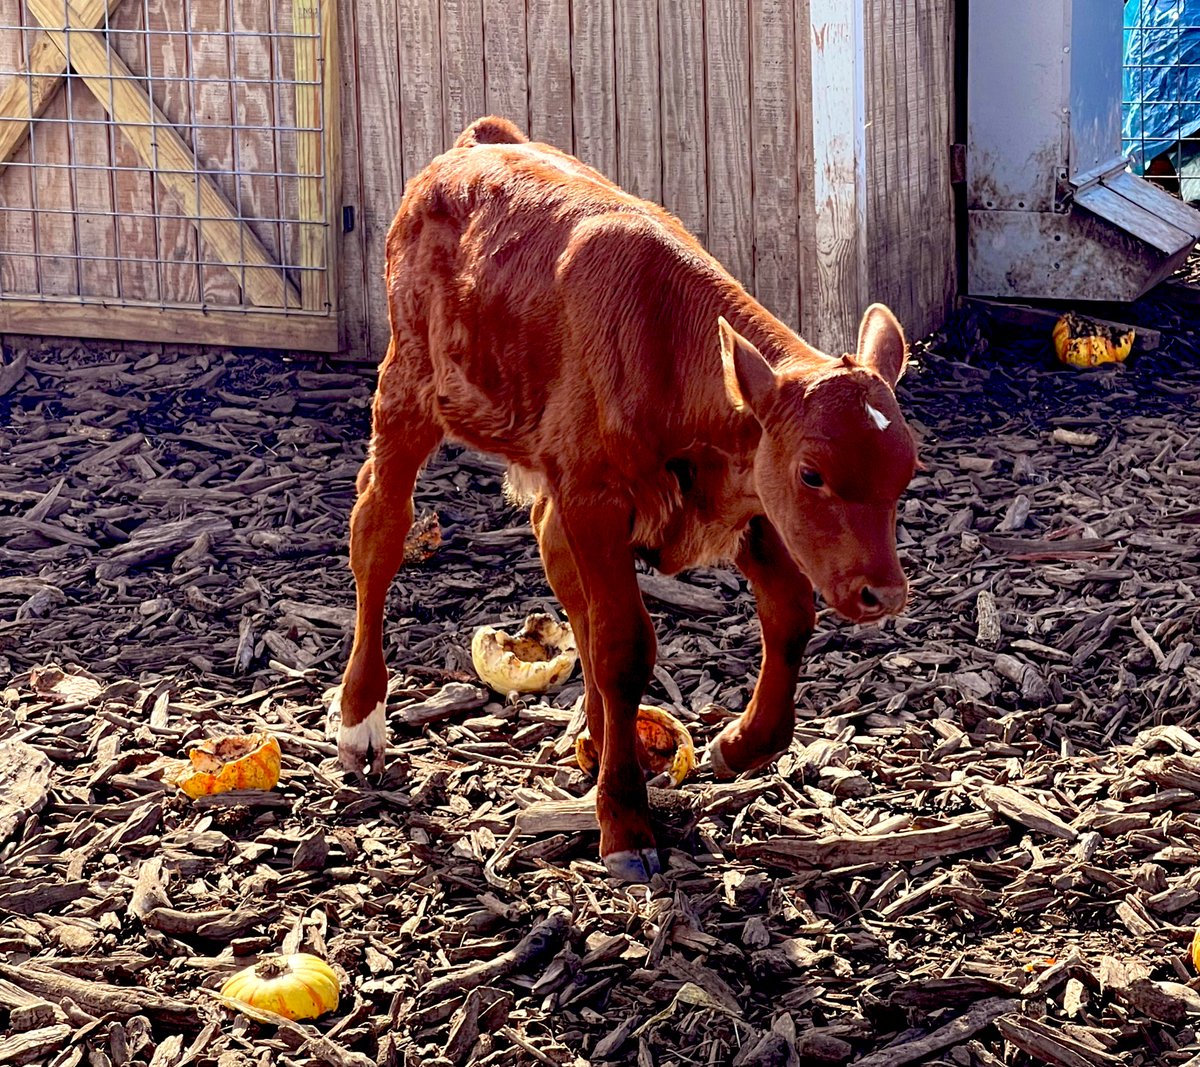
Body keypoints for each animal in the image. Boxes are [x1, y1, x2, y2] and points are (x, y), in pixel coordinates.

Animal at [336, 116, 917, 883]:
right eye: (812, 473)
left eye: (907, 470)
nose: (884, 593)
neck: (667, 345)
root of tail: (478, 142)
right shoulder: (597, 496)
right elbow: (623, 646)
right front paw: (625, 821)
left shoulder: (742, 499)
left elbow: (790, 611)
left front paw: (743, 743)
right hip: (409, 385)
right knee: (379, 527)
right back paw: (360, 718)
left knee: (559, 569)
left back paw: (602, 735)